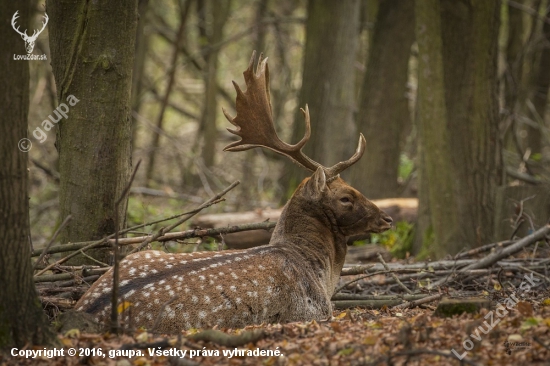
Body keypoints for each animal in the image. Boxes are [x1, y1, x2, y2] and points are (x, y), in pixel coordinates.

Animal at [75, 52, 392, 334]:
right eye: (346, 197)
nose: (387, 218)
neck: (320, 274)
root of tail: (87, 311)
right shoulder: (312, 311)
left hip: (137, 256)